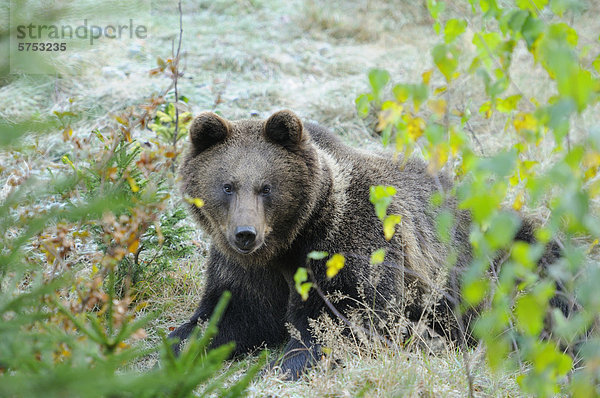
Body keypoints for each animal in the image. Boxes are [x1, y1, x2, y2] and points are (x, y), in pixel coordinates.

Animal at [165, 109, 556, 380]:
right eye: (227, 186)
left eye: (266, 187)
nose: (245, 233)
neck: (290, 240)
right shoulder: (248, 268)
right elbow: (231, 313)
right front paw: (179, 346)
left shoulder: (347, 243)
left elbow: (344, 317)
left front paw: (285, 364)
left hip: (499, 253)